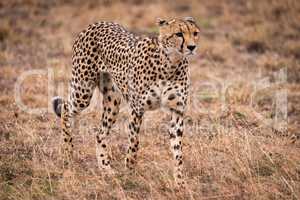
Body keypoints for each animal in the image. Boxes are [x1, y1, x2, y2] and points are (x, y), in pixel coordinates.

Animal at [52, 16, 200, 186]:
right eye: (179, 34)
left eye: (195, 33)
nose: (192, 47)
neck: (170, 63)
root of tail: (97, 23)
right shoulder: (137, 109)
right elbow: (134, 142)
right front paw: (130, 171)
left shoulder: (177, 112)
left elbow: (178, 151)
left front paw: (180, 182)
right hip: (82, 92)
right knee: (65, 108)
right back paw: (67, 153)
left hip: (112, 100)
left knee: (100, 133)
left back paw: (106, 168)